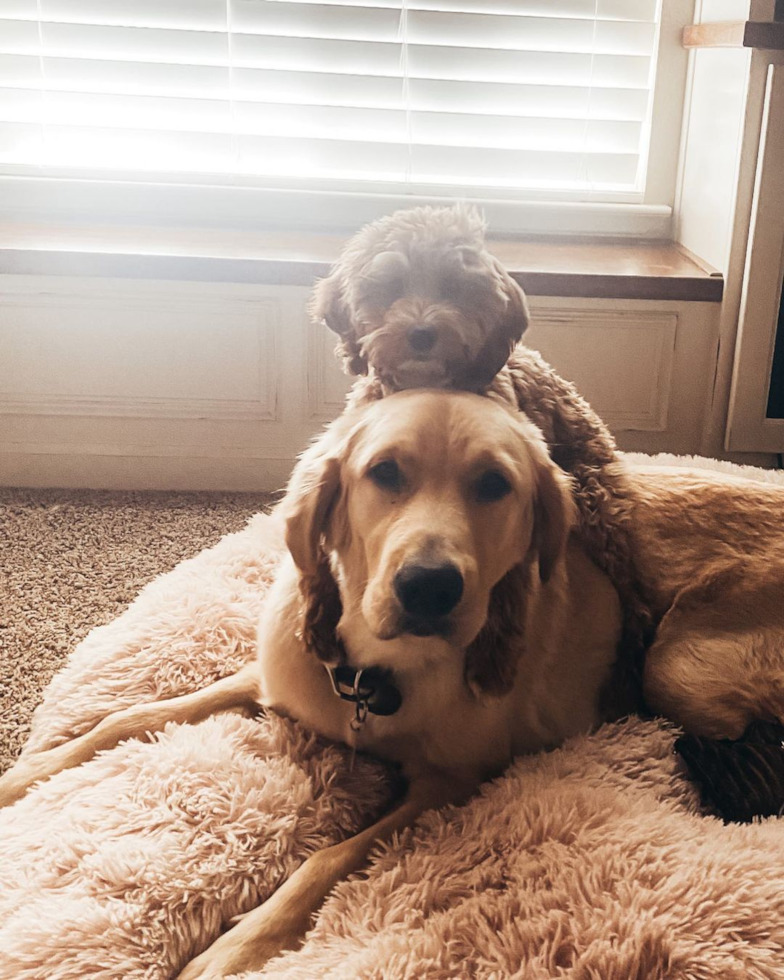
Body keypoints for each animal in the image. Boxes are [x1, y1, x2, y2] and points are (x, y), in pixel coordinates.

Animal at [3, 388, 780, 972]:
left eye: (495, 484)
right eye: (384, 472)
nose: (429, 587)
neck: (376, 674)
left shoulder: (448, 782)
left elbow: (327, 859)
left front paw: (238, 946)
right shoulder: (268, 680)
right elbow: (127, 719)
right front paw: (27, 775)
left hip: (675, 669)